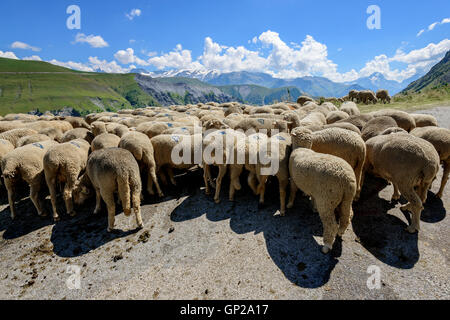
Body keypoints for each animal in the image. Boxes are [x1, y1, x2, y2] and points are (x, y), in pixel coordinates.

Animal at [286, 126, 356, 254]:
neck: (302, 148)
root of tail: (346, 179)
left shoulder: (293, 178)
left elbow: (293, 190)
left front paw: (289, 204)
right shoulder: (315, 189)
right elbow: (313, 197)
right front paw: (313, 208)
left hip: (327, 199)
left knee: (331, 225)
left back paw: (327, 246)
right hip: (347, 198)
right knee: (347, 215)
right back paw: (341, 232)